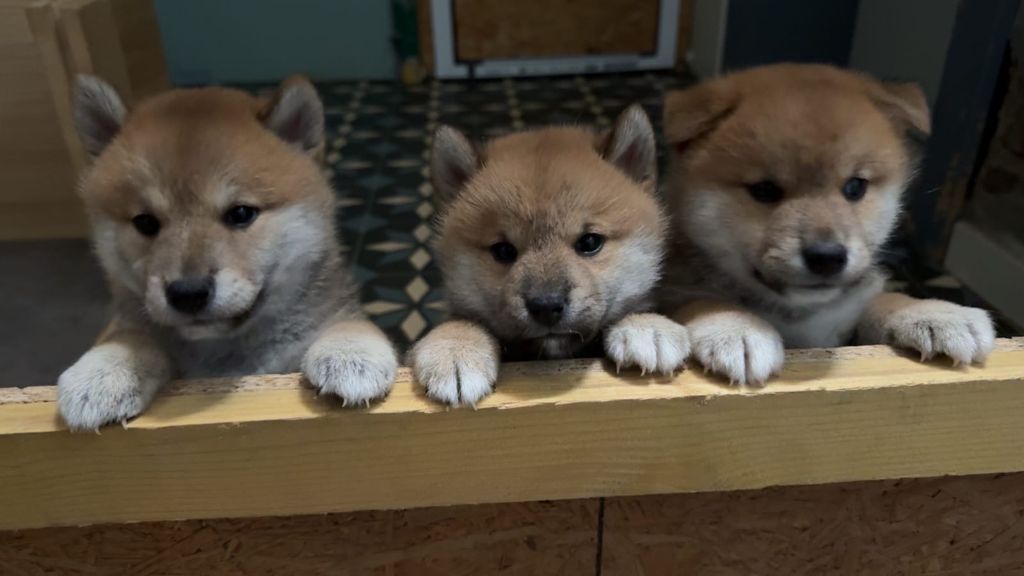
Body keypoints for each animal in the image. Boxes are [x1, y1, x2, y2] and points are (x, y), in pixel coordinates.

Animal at [55, 75, 399, 426]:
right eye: (146, 222)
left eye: (241, 213)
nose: (188, 293)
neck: (227, 353)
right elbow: (132, 338)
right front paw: (104, 371)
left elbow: (346, 324)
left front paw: (350, 352)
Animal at [407, 105, 688, 405]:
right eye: (503, 251)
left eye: (590, 242)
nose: (546, 306)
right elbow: (461, 320)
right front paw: (455, 347)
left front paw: (646, 327)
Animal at [659, 62, 995, 383]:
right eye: (764, 190)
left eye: (855, 187)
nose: (827, 257)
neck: (800, 315)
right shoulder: (678, 290)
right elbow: (702, 301)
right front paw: (736, 326)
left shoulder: (844, 322)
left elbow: (879, 299)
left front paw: (932, 313)